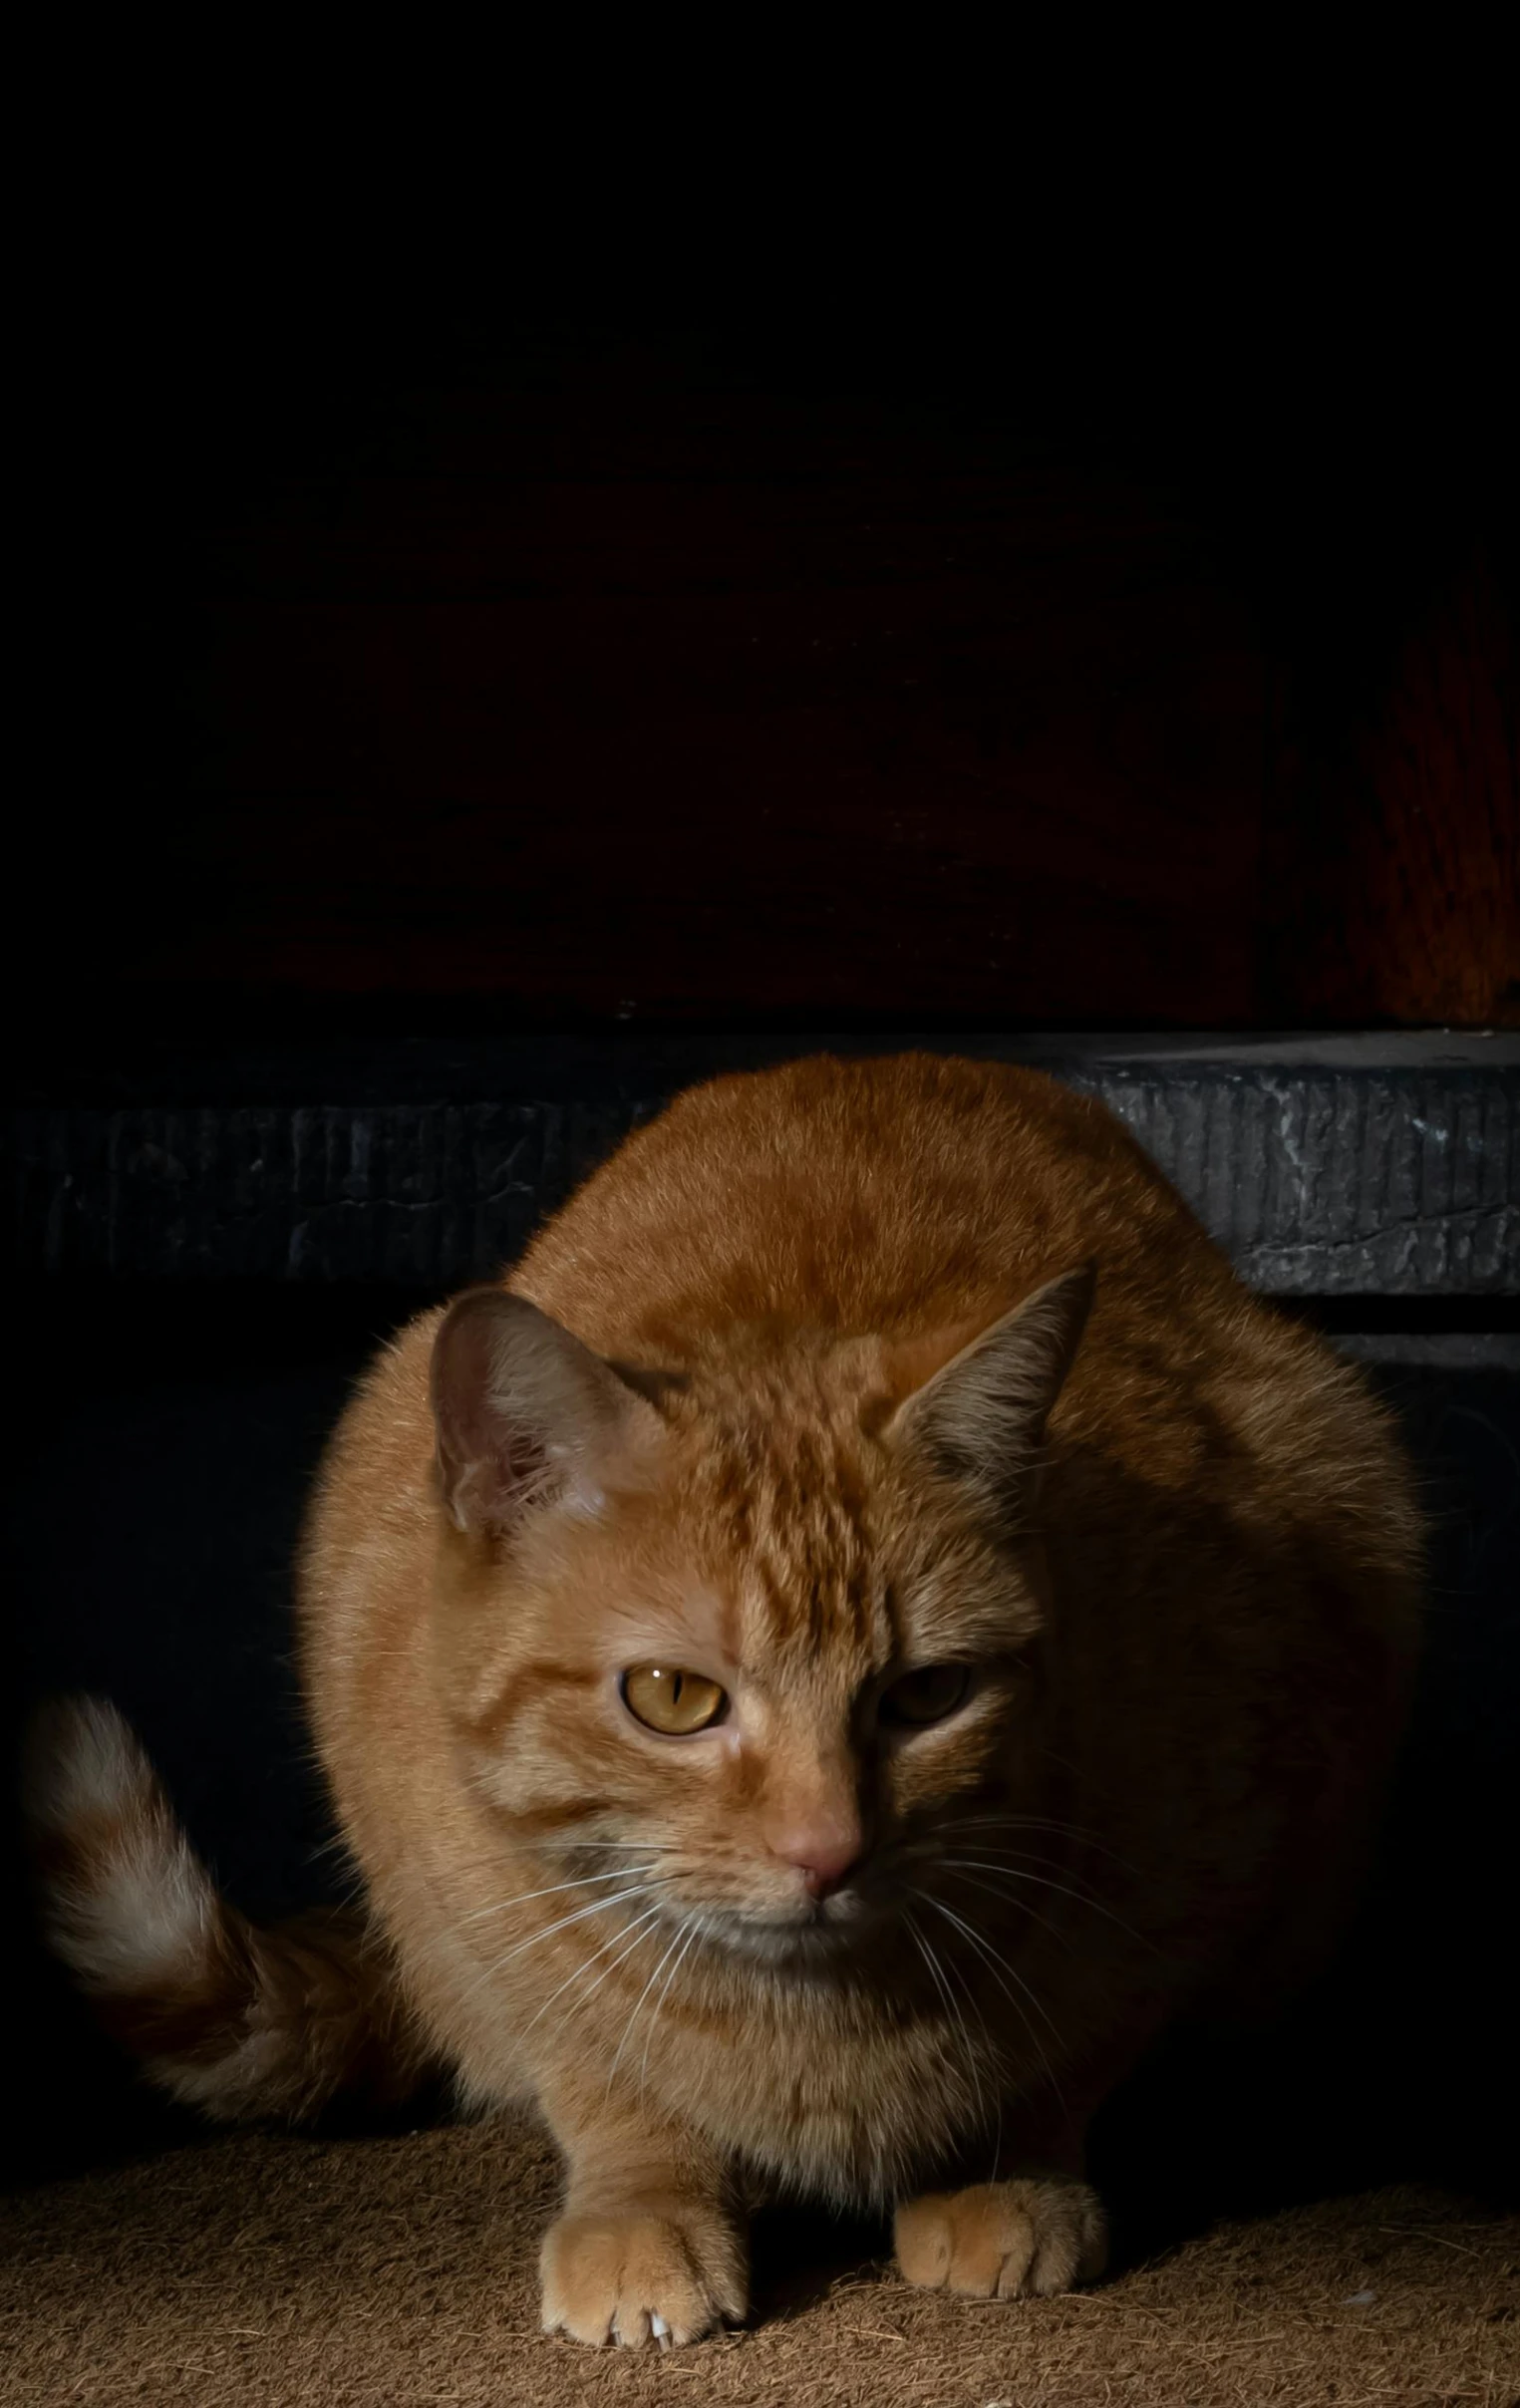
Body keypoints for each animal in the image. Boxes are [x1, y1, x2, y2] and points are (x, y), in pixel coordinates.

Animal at [29, 1063, 1425, 2340]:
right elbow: (598, 2068)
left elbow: (1070, 2054)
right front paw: (643, 2201)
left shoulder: (1222, 1852)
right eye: (671, 1696)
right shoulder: (461, 1889)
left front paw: (1008, 2167)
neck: (808, 2019)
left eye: (928, 1693)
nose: (827, 1851)